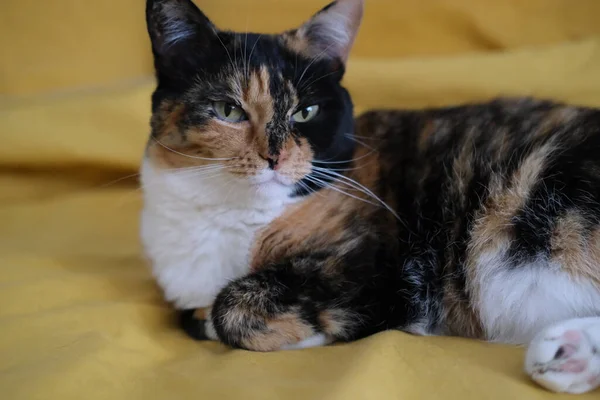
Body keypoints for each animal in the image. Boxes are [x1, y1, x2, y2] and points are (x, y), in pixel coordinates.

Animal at [143, 0, 600, 394]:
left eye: (305, 112)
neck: (232, 216)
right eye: (228, 110)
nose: (275, 156)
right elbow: (194, 313)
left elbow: (228, 306)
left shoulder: (378, 270)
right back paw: (568, 355)